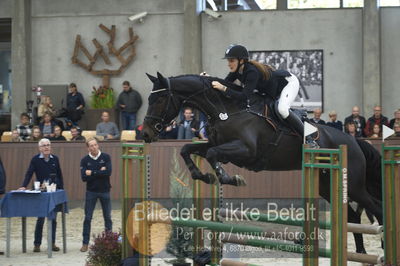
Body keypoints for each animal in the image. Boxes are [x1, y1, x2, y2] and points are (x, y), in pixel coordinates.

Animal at [142, 72, 382, 254]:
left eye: (160, 100)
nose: (145, 134)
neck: (226, 109)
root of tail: (354, 141)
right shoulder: (218, 144)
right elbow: (187, 150)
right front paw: (204, 176)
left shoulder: (246, 151)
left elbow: (211, 154)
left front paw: (230, 178)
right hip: (327, 184)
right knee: (353, 216)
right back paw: (361, 251)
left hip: (354, 184)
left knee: (376, 207)